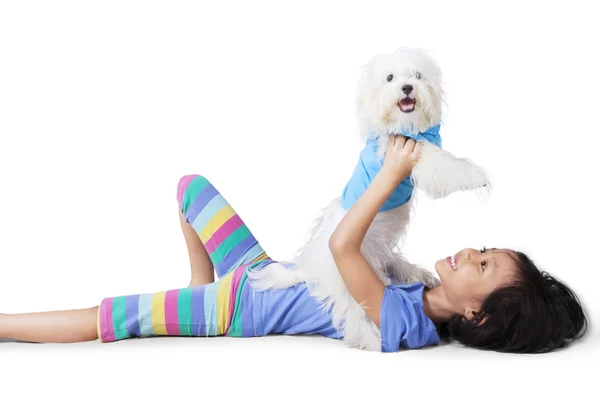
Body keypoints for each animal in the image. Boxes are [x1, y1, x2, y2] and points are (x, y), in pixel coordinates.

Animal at [248, 48, 488, 352]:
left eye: (417, 75)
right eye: (390, 78)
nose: (407, 87)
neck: (407, 128)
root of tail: (308, 268)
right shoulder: (416, 156)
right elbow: (446, 164)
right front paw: (477, 176)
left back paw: (419, 275)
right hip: (346, 277)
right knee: (350, 310)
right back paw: (370, 338)